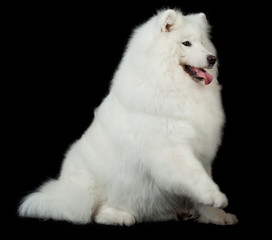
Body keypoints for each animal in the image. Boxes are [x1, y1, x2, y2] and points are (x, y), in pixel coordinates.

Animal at [18, 8, 238, 225]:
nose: (212, 58)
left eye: (203, 43)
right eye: (186, 43)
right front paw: (216, 196)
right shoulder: (171, 149)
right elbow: (196, 176)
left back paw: (180, 212)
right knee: (96, 212)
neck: (172, 83)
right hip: (99, 187)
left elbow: (201, 188)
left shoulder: (202, 152)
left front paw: (218, 216)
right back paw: (120, 216)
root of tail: (62, 193)